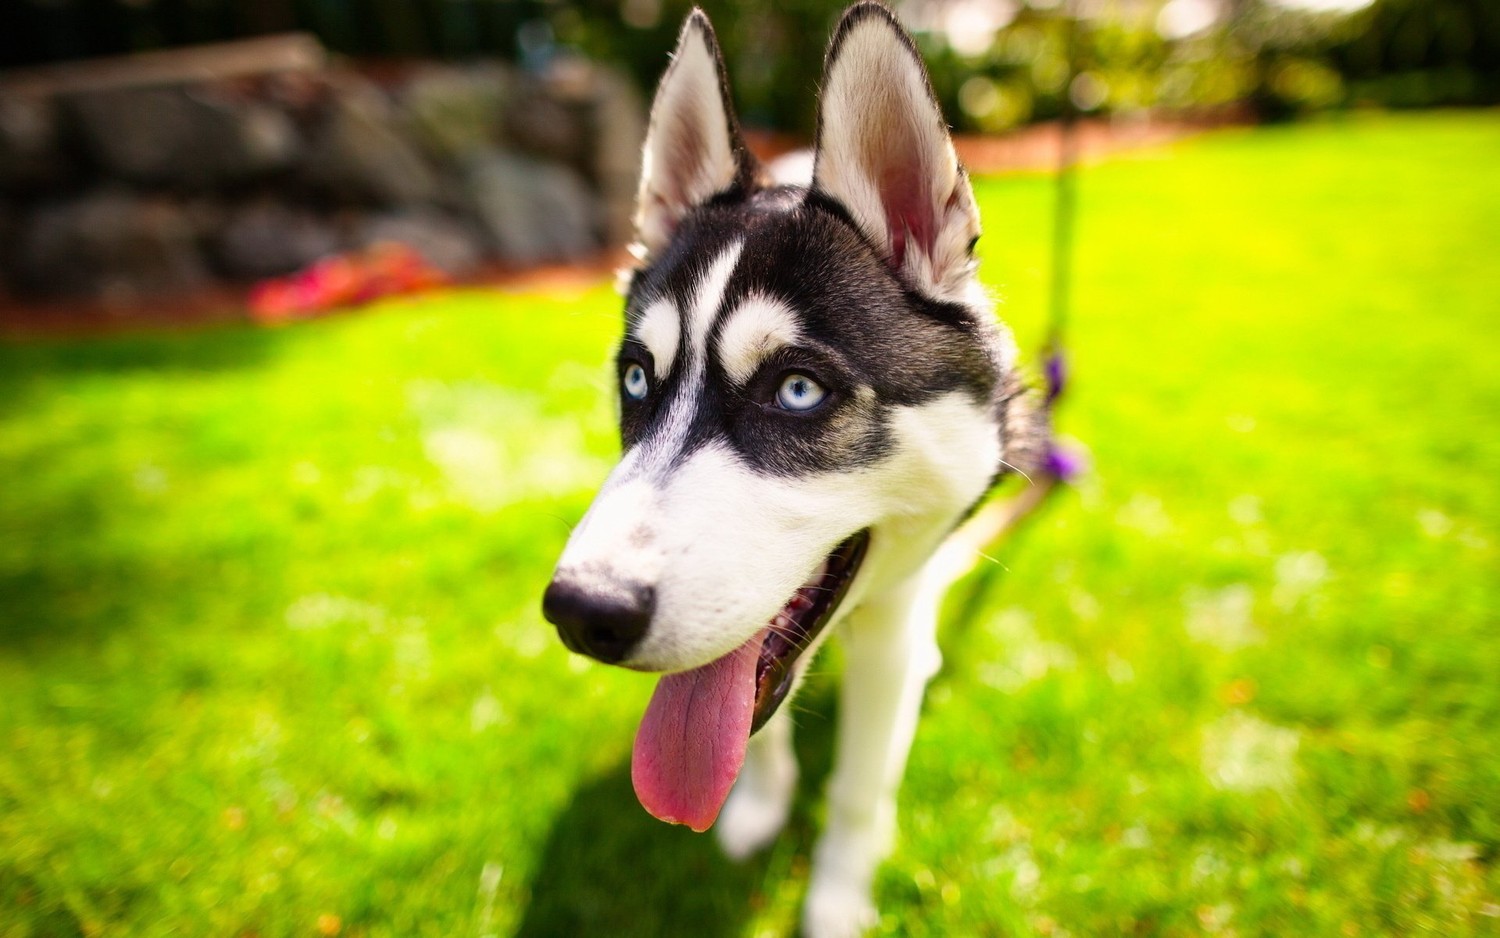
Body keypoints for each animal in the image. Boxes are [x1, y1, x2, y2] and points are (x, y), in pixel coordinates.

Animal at [546, 3, 1050, 930]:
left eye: (798, 391)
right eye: (636, 379)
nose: (582, 611)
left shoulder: (891, 626)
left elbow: (858, 786)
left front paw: (839, 898)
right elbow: (754, 717)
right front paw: (758, 807)